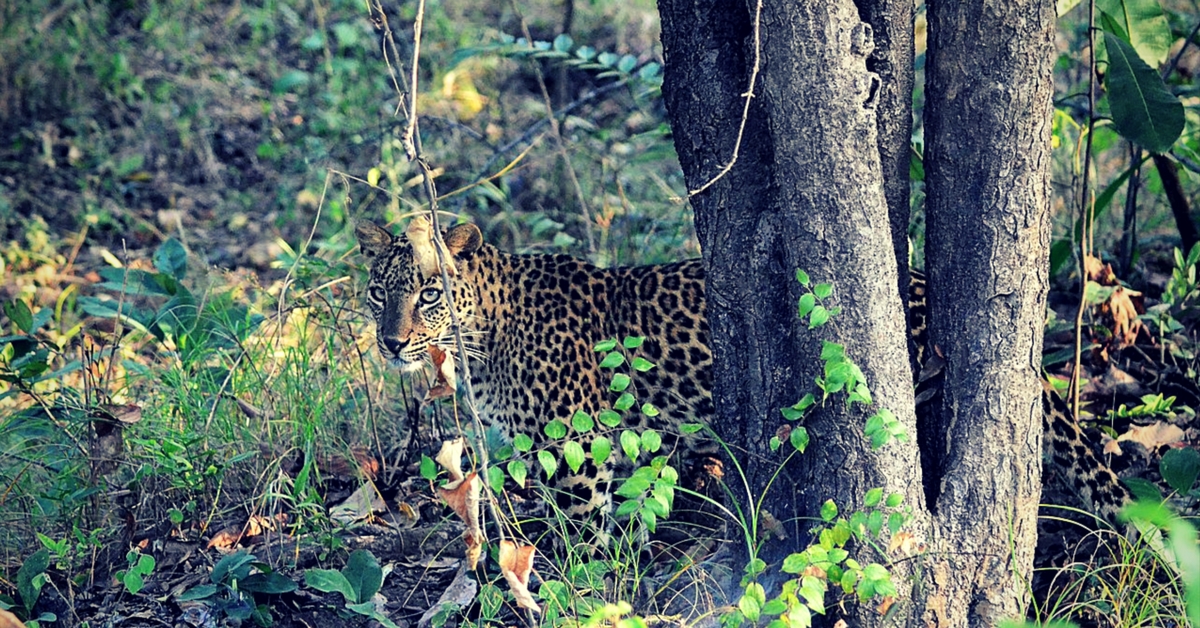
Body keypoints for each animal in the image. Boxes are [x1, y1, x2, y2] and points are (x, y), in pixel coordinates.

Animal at [355, 218, 1132, 533]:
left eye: (428, 294)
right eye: (376, 292)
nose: (392, 342)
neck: (481, 338)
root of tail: (918, 285)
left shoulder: (579, 454)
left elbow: (585, 539)